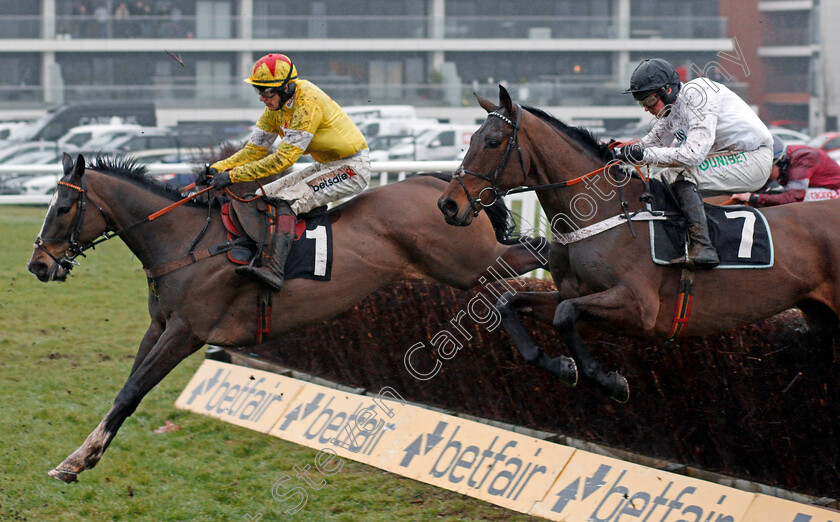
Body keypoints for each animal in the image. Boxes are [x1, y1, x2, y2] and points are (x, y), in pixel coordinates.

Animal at [26, 152, 548, 482]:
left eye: (64, 206)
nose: (38, 265)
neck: (185, 243)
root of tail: (442, 185)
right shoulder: (159, 327)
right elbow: (125, 391)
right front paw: (78, 459)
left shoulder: (187, 332)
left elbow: (132, 391)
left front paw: (76, 461)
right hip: (466, 267)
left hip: (468, 261)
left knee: (540, 249)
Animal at [436, 85, 840, 402]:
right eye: (471, 140)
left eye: (491, 142)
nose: (448, 204)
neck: (604, 213)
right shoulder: (573, 294)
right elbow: (510, 303)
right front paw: (563, 366)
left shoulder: (640, 307)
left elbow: (565, 316)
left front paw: (610, 381)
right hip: (820, 316)